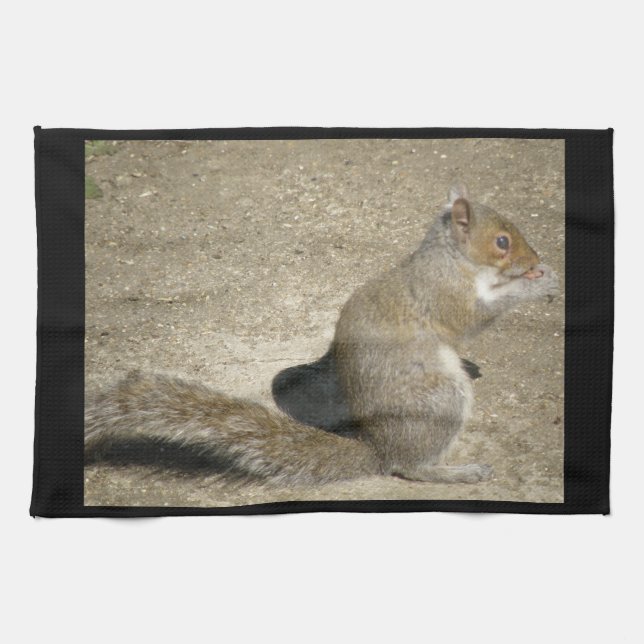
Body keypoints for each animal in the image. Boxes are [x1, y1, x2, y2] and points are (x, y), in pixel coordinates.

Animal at [85, 183, 558, 486]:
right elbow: (472, 319)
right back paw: (455, 472)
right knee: (408, 467)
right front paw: (538, 283)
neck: (452, 259)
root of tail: (378, 448)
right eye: (502, 241)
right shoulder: (442, 295)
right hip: (439, 401)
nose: (535, 258)